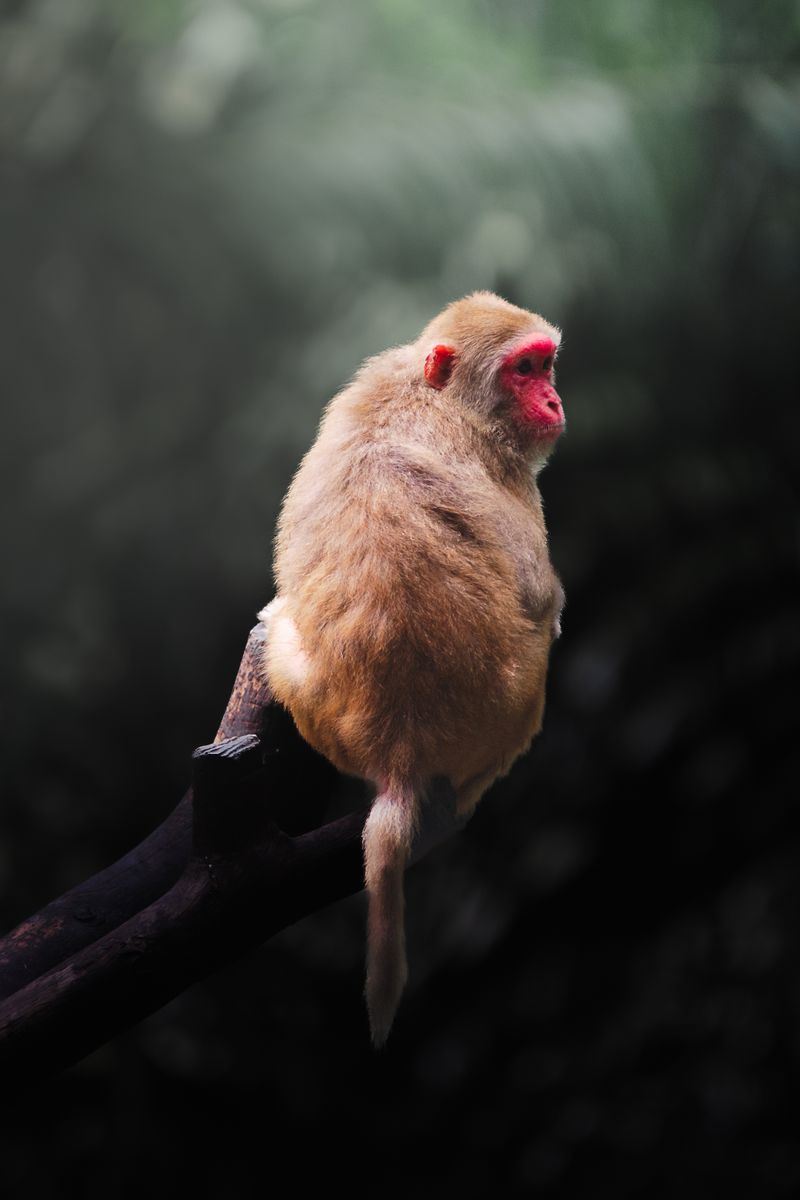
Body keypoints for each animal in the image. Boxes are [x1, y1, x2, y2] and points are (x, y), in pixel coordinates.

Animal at [259, 291, 566, 1046]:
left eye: (545, 365)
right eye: (524, 370)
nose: (552, 399)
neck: (433, 395)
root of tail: (401, 751)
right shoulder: (504, 469)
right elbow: (543, 598)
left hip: (306, 696)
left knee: (280, 627)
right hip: (515, 705)